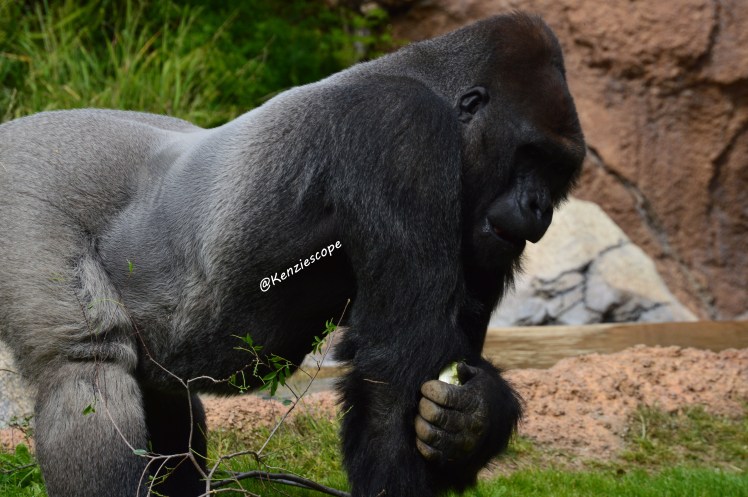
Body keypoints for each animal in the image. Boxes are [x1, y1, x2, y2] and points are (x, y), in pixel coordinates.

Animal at [0, 11, 584, 497]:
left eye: (558, 169)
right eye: (531, 154)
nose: (538, 209)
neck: (427, 82)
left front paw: (473, 420)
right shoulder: (402, 130)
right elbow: (398, 361)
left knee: (160, 389)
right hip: (23, 183)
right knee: (85, 365)